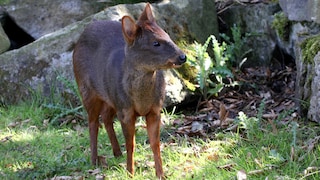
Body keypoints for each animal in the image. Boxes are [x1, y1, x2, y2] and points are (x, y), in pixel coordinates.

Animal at [73, 3, 186, 179]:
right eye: (155, 43)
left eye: (167, 35)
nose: (182, 57)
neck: (141, 99)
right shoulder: (125, 111)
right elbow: (131, 143)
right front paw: (130, 172)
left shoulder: (155, 110)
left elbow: (155, 143)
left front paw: (160, 174)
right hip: (87, 90)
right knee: (92, 123)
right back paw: (94, 160)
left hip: (110, 98)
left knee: (106, 117)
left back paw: (117, 152)